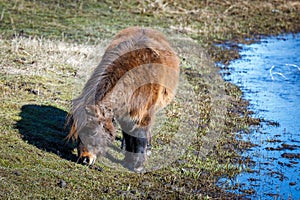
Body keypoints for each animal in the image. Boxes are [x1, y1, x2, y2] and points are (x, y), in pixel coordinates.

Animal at [67, 25, 179, 171]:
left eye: (93, 132)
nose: (85, 159)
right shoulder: (123, 114)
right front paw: (128, 160)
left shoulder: (143, 115)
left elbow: (140, 135)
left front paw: (137, 165)